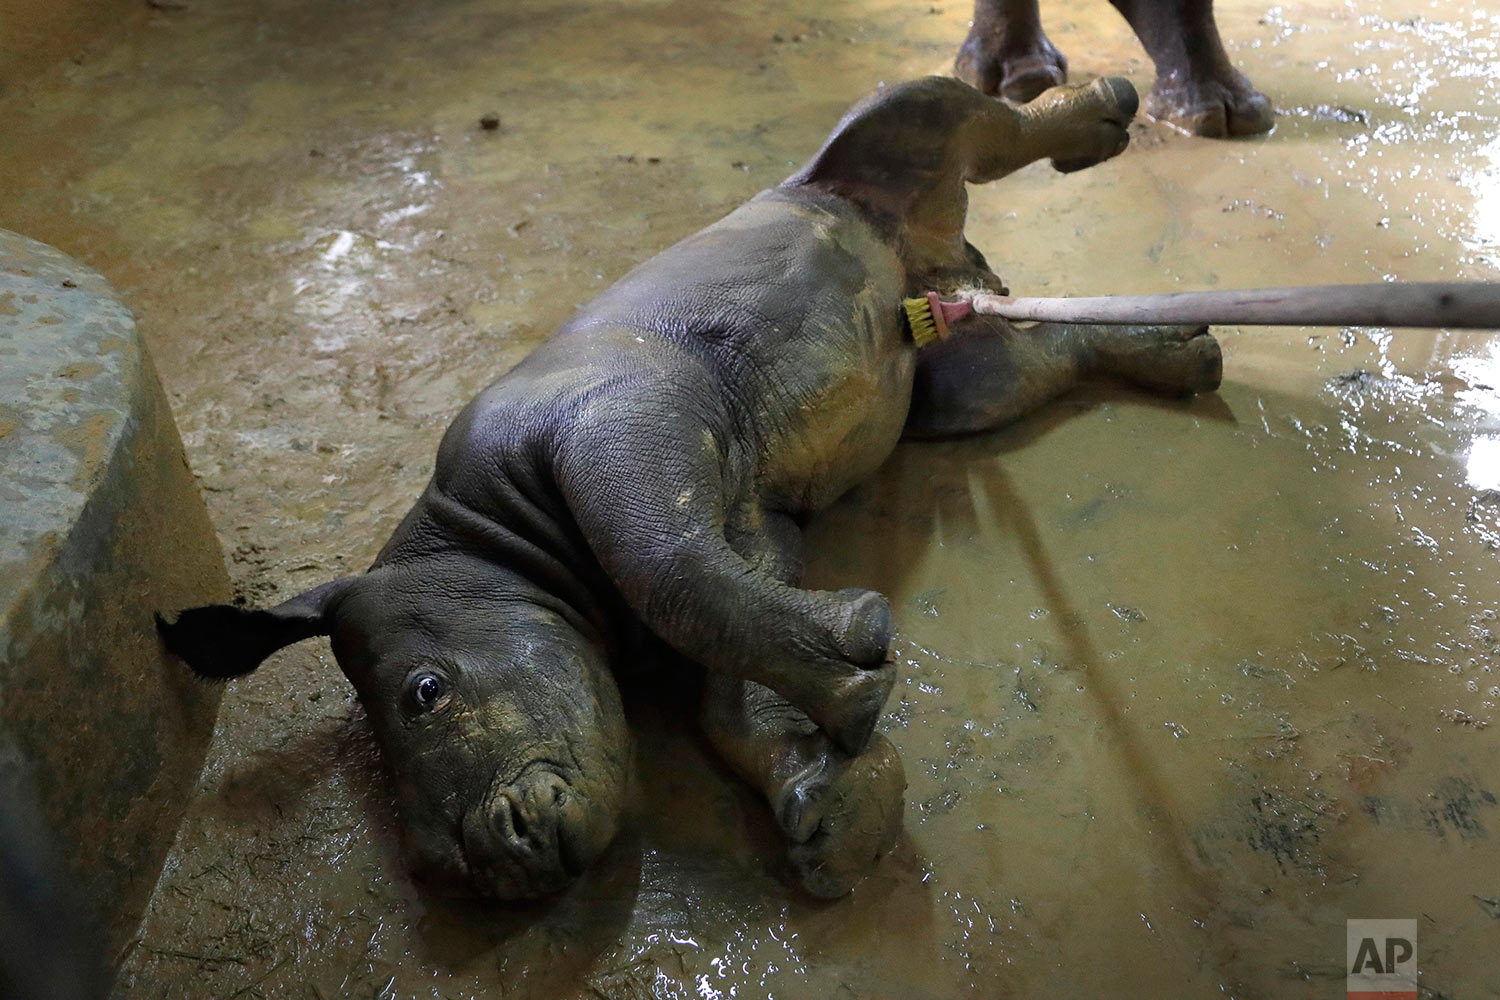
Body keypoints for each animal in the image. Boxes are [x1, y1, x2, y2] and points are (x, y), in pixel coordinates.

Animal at [161, 72, 1218, 899]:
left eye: (424, 694)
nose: (490, 868)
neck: (475, 536)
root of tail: (935, 260)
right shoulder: (751, 519)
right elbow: (722, 661)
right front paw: (836, 811)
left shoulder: (621, 418)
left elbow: (665, 566)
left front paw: (856, 677)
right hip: (930, 339)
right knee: (974, 383)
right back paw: (1181, 355)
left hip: (825, 188)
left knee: (925, 119)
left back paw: (1110, 117)